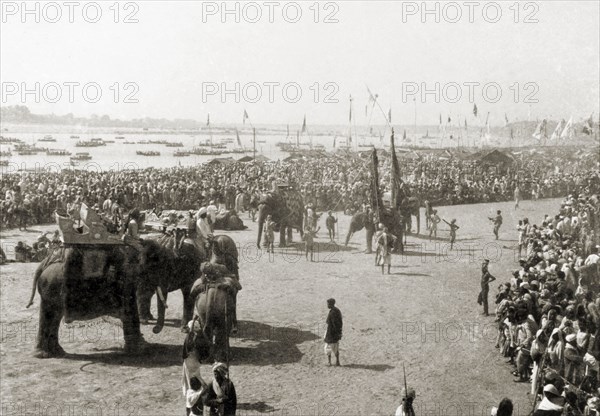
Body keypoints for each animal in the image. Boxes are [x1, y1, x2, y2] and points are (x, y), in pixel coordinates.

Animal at [27, 244, 155, 358]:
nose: (154, 330)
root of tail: (45, 263)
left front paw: (141, 347)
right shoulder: (125, 282)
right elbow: (130, 309)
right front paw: (141, 349)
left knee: (55, 316)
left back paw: (58, 352)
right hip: (50, 287)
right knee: (49, 314)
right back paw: (43, 354)